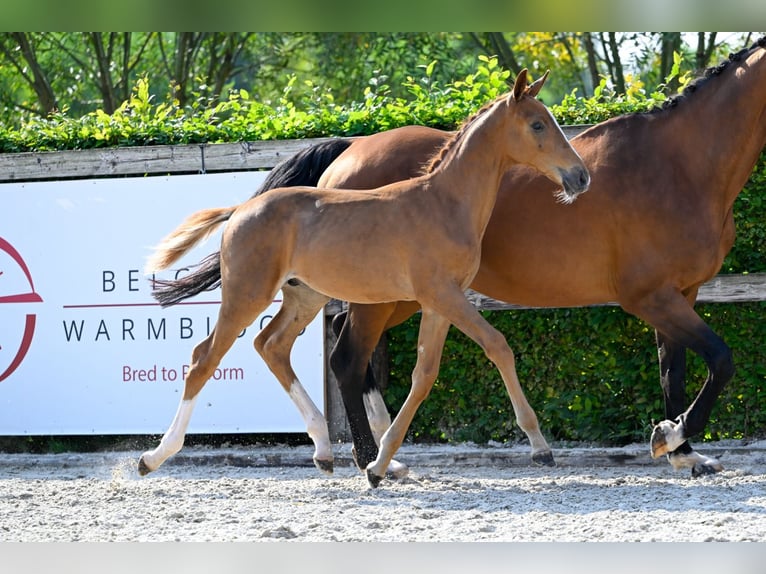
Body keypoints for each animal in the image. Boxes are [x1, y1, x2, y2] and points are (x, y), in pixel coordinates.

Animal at [140, 70, 592, 488]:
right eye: (537, 124)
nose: (581, 176)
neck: (443, 202)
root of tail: (240, 211)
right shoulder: (444, 295)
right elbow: (498, 346)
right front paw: (540, 446)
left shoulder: (438, 303)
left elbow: (424, 375)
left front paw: (379, 465)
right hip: (248, 294)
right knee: (205, 358)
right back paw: (154, 457)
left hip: (305, 297)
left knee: (271, 346)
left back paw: (325, 450)